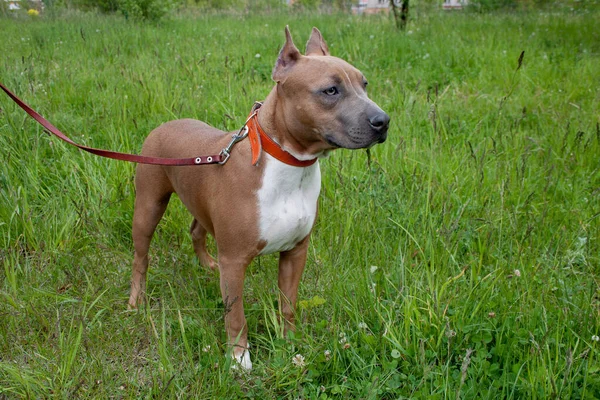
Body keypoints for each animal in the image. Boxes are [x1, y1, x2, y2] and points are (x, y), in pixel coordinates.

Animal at [127, 26, 390, 372]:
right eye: (331, 90)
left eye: (364, 84)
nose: (383, 121)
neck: (291, 165)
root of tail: (165, 125)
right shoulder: (235, 262)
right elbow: (236, 316)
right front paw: (239, 359)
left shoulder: (295, 253)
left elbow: (288, 304)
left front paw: (291, 345)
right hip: (148, 206)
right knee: (141, 258)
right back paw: (136, 300)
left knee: (197, 230)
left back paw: (207, 265)